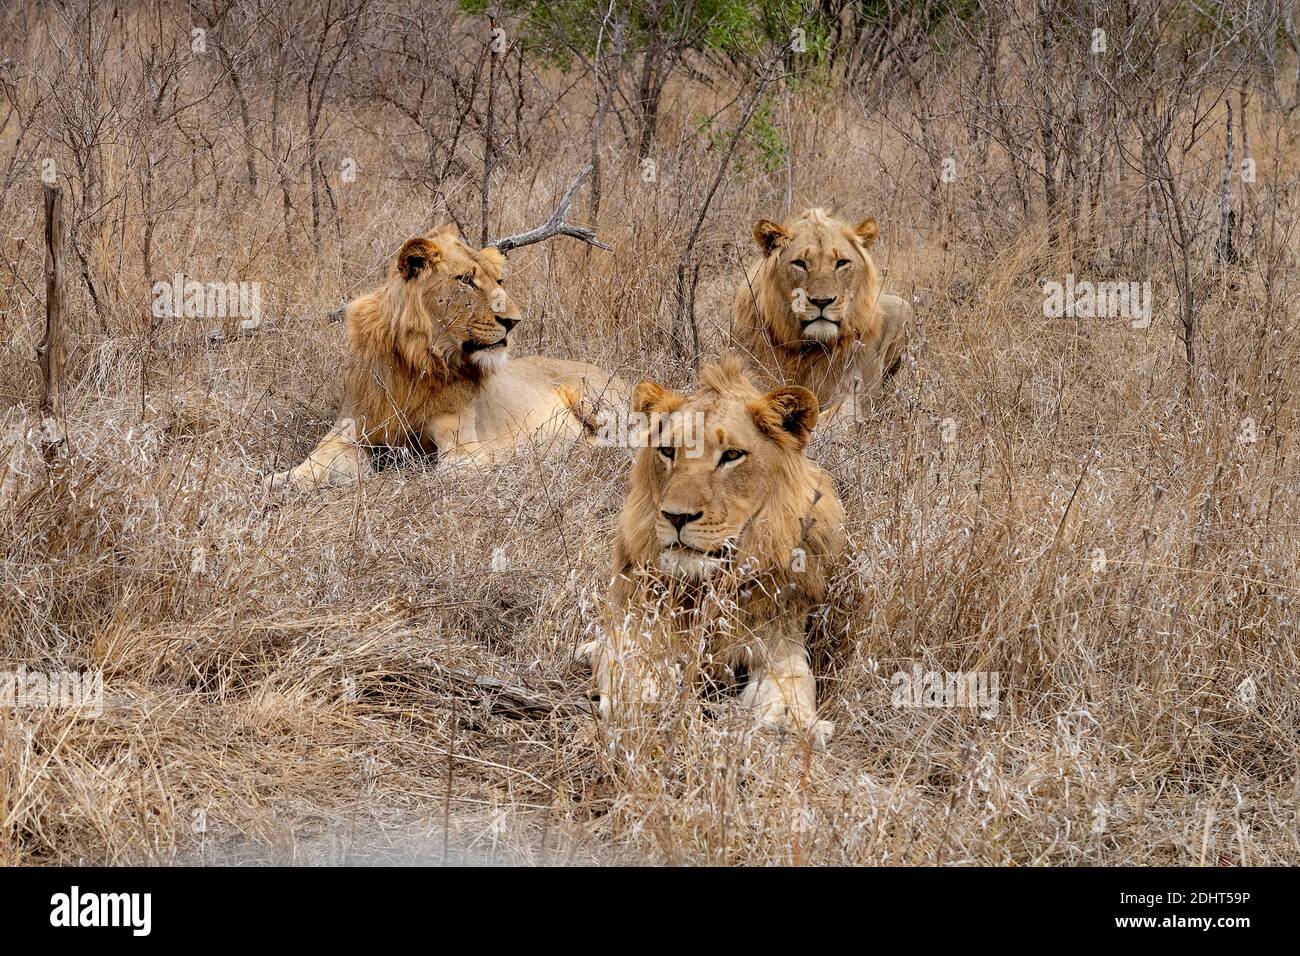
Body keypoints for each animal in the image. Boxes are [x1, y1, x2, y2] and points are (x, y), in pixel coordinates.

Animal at [265, 226, 629, 494]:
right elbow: (314, 462)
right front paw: (279, 479)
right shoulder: (351, 427)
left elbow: (433, 473)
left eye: (499, 281)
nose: (514, 321)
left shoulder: (465, 451)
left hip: (601, 403)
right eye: (466, 280)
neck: (415, 361)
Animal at [579, 358, 842, 749]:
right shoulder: (639, 623)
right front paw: (644, 703)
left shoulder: (780, 638)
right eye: (668, 451)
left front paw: (794, 720)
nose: (676, 517)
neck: (706, 586)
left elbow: (796, 681)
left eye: (732, 455)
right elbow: (628, 664)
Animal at [733, 208, 915, 421]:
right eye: (800, 263)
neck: (804, 350)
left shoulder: (848, 393)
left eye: (841, 263)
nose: (822, 301)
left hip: (903, 307)